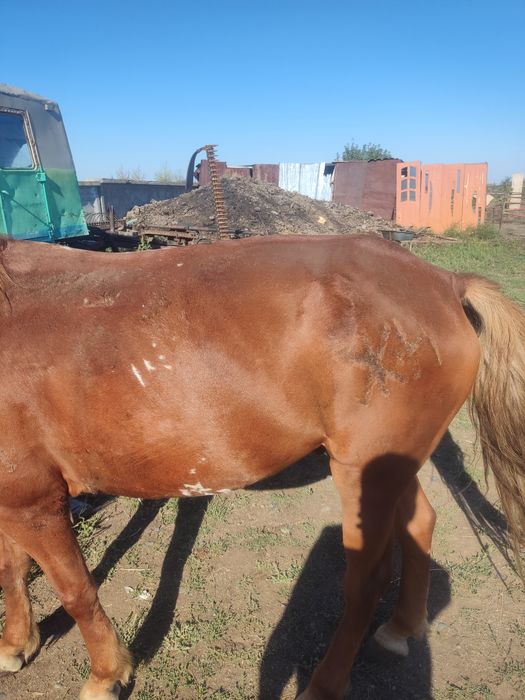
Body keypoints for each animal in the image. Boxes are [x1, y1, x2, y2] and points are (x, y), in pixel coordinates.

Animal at [0, 233, 523, 700]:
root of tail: (443, 281)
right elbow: (13, 567)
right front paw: (16, 643)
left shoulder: (34, 502)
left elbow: (76, 591)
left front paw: (107, 674)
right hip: (388, 465)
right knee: (420, 524)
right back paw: (402, 626)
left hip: (361, 473)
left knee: (367, 581)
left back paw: (325, 685)